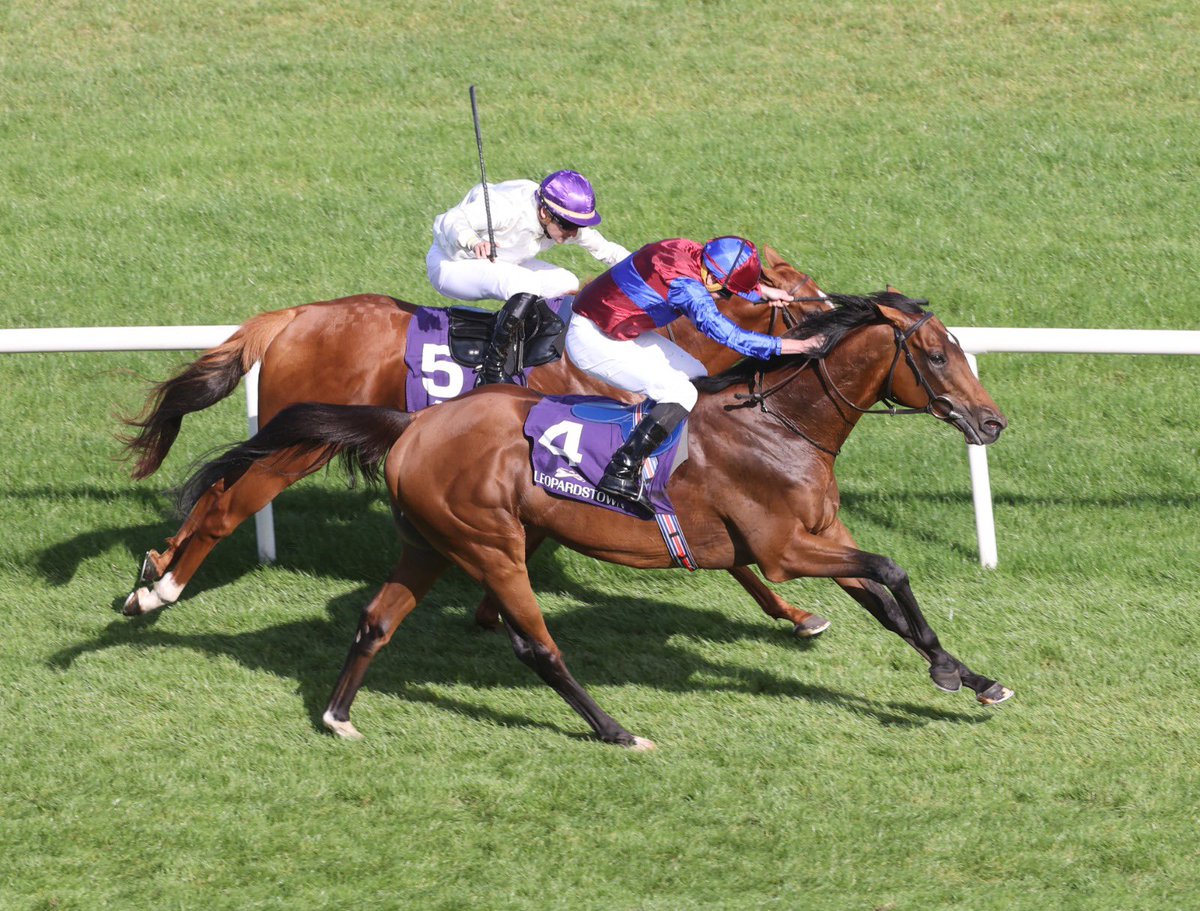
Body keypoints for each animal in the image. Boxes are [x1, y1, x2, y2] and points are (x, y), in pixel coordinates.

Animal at [121, 246, 835, 638]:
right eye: (801, 292)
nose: (833, 317)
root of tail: (295, 316)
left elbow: (732, 551)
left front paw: (799, 615)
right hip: (300, 445)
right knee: (228, 504)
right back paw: (164, 589)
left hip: (290, 435)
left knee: (215, 487)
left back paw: (153, 568)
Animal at [182, 291, 1012, 748]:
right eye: (938, 355)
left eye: (958, 348)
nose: (992, 422)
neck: (778, 424)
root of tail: (414, 423)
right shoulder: (787, 547)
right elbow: (890, 570)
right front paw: (949, 672)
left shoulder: (822, 538)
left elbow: (892, 605)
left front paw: (971, 677)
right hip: (489, 541)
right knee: (536, 645)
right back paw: (615, 728)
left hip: (431, 544)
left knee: (376, 620)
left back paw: (337, 714)